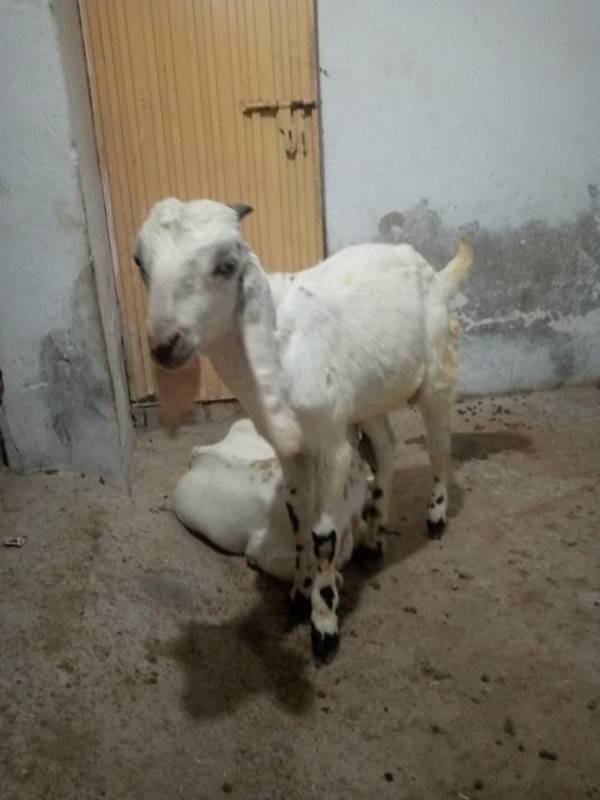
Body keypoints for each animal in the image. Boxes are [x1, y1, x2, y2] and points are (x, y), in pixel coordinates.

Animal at [135, 198, 473, 663]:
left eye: (226, 265)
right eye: (140, 263)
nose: (165, 345)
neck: (279, 344)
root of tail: (434, 273)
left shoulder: (332, 444)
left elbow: (324, 537)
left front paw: (324, 628)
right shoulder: (290, 448)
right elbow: (297, 519)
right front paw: (298, 594)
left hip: (439, 371)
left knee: (439, 448)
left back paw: (435, 518)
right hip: (366, 397)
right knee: (387, 448)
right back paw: (373, 538)